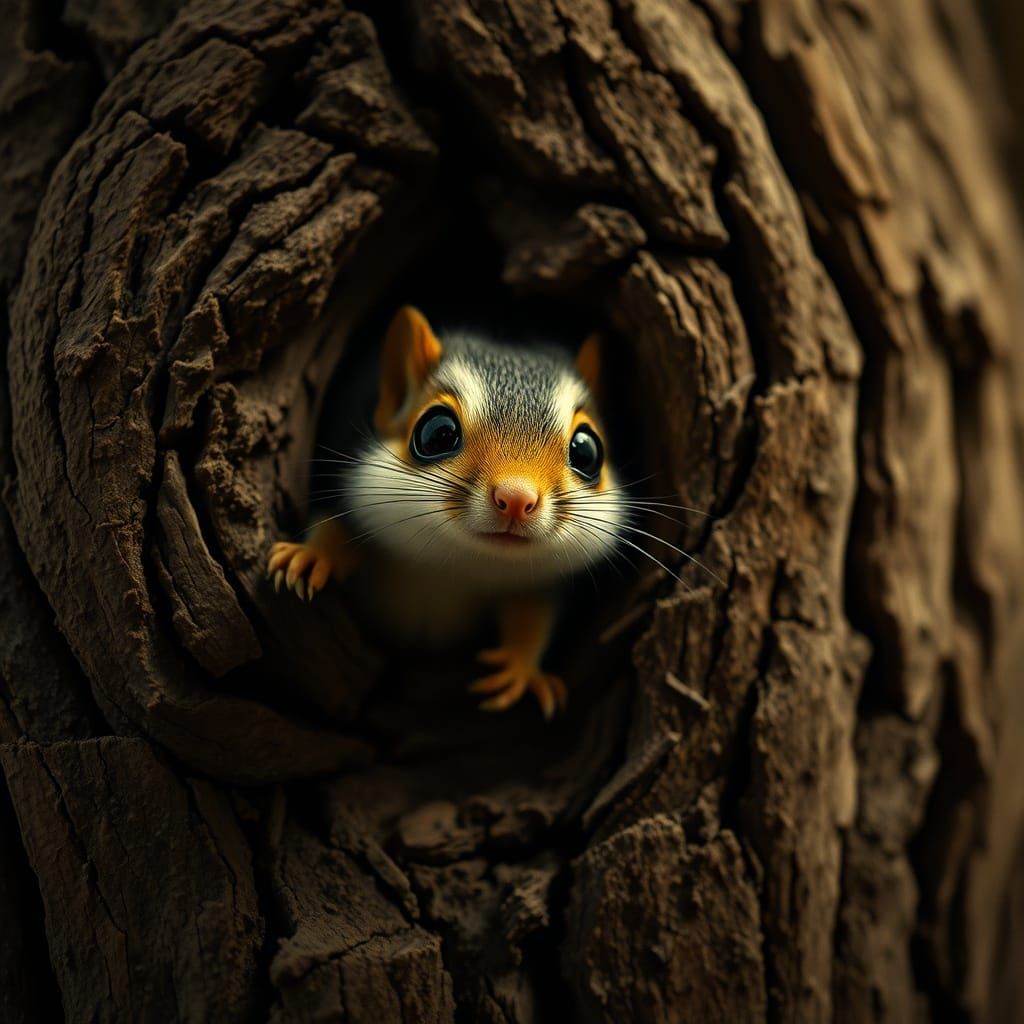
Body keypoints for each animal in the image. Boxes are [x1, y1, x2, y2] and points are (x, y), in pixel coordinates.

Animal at [266, 306, 625, 718]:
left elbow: (532, 615)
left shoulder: (538, 580)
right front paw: (309, 556)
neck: (459, 563)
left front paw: (519, 671)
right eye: (437, 432)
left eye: (587, 451)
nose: (516, 498)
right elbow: (338, 527)